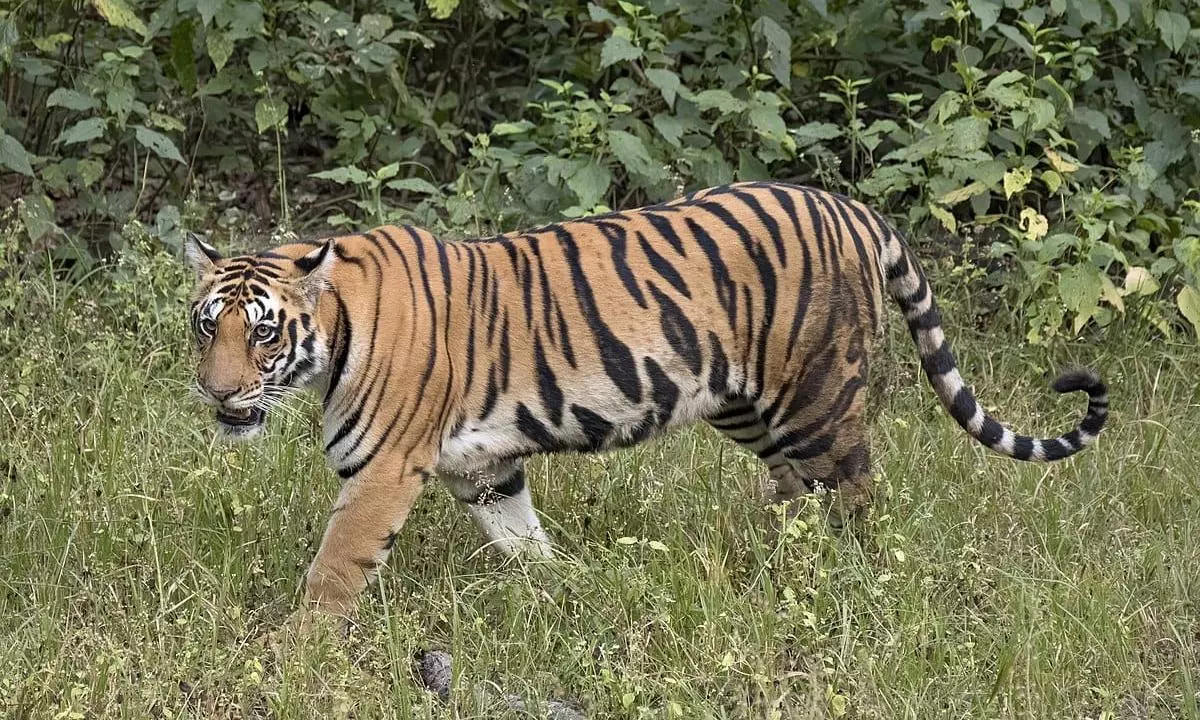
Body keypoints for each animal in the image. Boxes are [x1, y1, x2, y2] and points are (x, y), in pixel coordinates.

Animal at [183, 181, 1108, 622]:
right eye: (205, 327)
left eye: (263, 334)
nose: (217, 392)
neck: (333, 336)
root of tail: (850, 207)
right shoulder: (484, 468)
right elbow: (523, 540)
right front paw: (563, 591)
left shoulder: (382, 473)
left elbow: (334, 570)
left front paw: (299, 655)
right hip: (747, 405)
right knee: (795, 492)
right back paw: (775, 565)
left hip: (817, 398)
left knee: (854, 494)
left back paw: (846, 582)